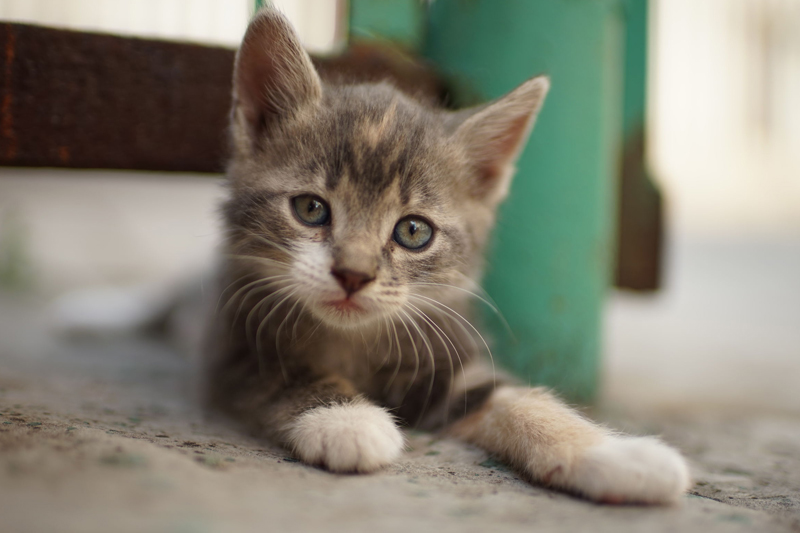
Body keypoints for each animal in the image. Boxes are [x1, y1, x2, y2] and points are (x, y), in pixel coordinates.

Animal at [209, 9, 692, 508]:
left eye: (413, 231)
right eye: (310, 209)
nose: (353, 275)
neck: (354, 341)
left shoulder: (450, 365)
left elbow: (519, 398)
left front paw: (617, 455)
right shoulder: (234, 346)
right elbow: (287, 375)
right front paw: (347, 420)